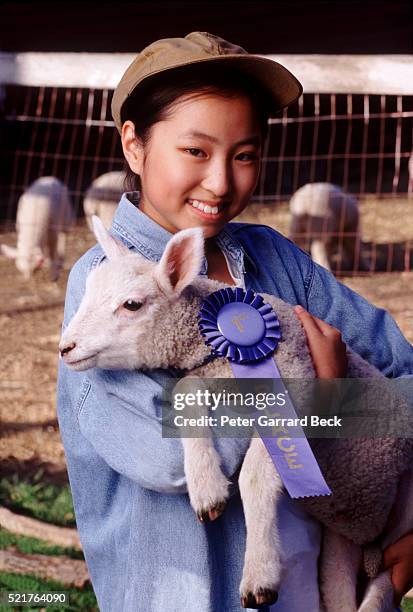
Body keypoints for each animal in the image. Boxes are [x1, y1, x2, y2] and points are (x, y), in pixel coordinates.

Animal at [58, 218, 412, 608]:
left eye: (132, 304)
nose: (65, 347)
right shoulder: (209, 375)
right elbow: (185, 391)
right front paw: (206, 488)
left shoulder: (296, 386)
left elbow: (255, 474)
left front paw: (259, 578)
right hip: (342, 539)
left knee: (383, 581)